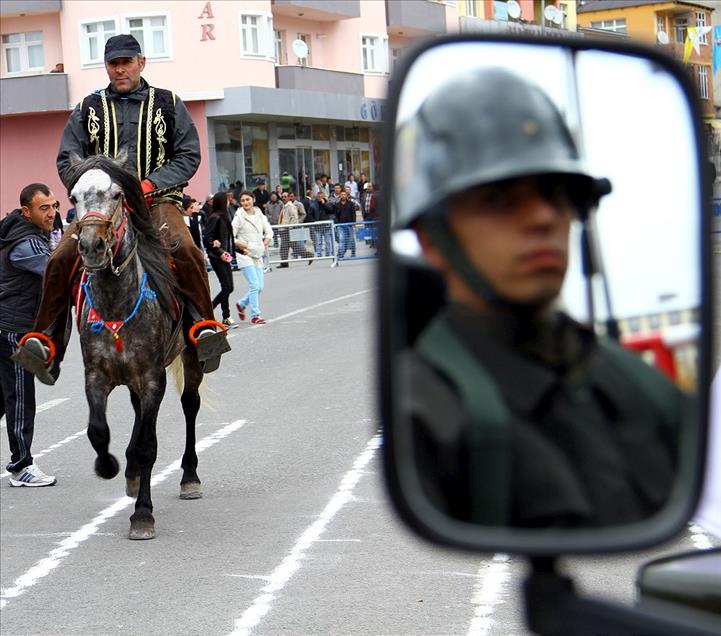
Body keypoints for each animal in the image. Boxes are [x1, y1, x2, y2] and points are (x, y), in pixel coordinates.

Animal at [68, 152, 204, 540]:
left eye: (116, 195)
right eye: (73, 197)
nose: (91, 246)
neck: (117, 300)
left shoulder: (152, 378)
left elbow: (146, 447)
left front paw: (142, 515)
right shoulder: (96, 376)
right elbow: (98, 431)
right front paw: (110, 465)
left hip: (190, 357)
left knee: (190, 405)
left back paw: (190, 476)